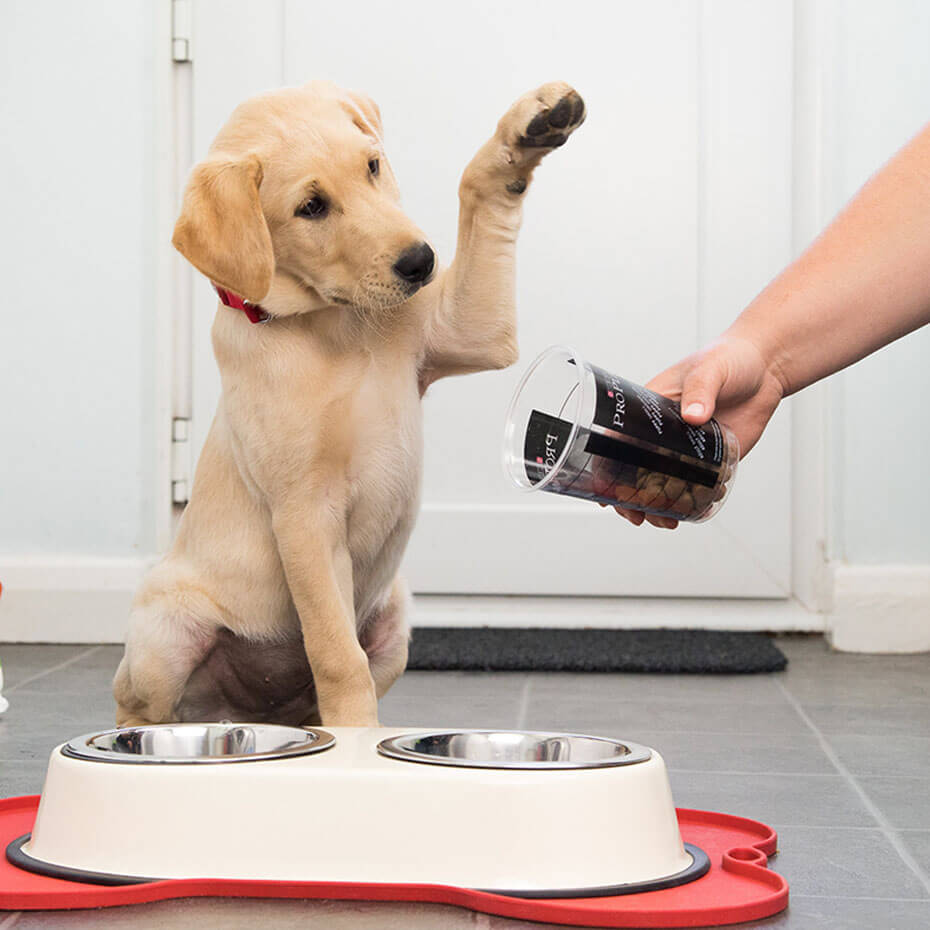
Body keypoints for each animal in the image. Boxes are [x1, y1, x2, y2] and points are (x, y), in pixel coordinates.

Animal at [114, 80, 580, 728]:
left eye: (373, 167)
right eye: (312, 207)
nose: (420, 262)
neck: (337, 325)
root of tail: (251, 712)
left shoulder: (467, 328)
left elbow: (478, 190)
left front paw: (527, 129)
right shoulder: (304, 516)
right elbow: (335, 653)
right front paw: (359, 740)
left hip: (395, 620)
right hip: (164, 633)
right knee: (137, 706)